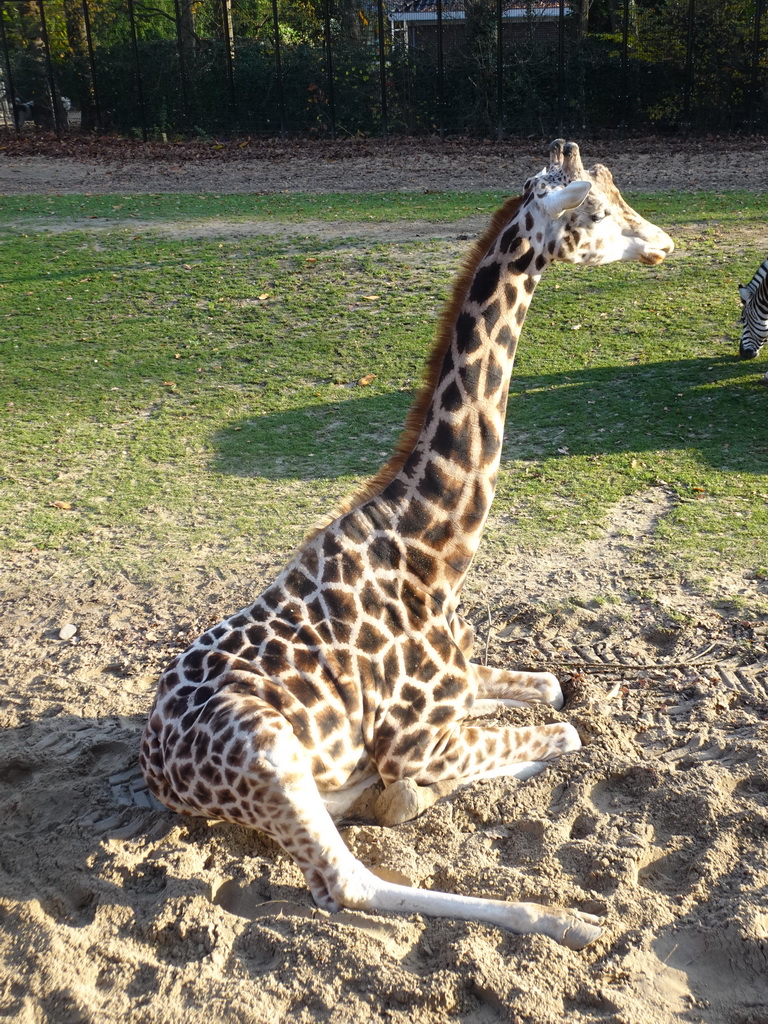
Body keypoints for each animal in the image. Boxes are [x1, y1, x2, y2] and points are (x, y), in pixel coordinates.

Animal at [143, 138, 671, 950]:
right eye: (598, 212)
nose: (664, 242)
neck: (434, 551)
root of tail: (156, 766)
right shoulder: (421, 740)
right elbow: (563, 733)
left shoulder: (455, 695)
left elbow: (552, 692)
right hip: (268, 750)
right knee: (349, 883)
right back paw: (568, 918)